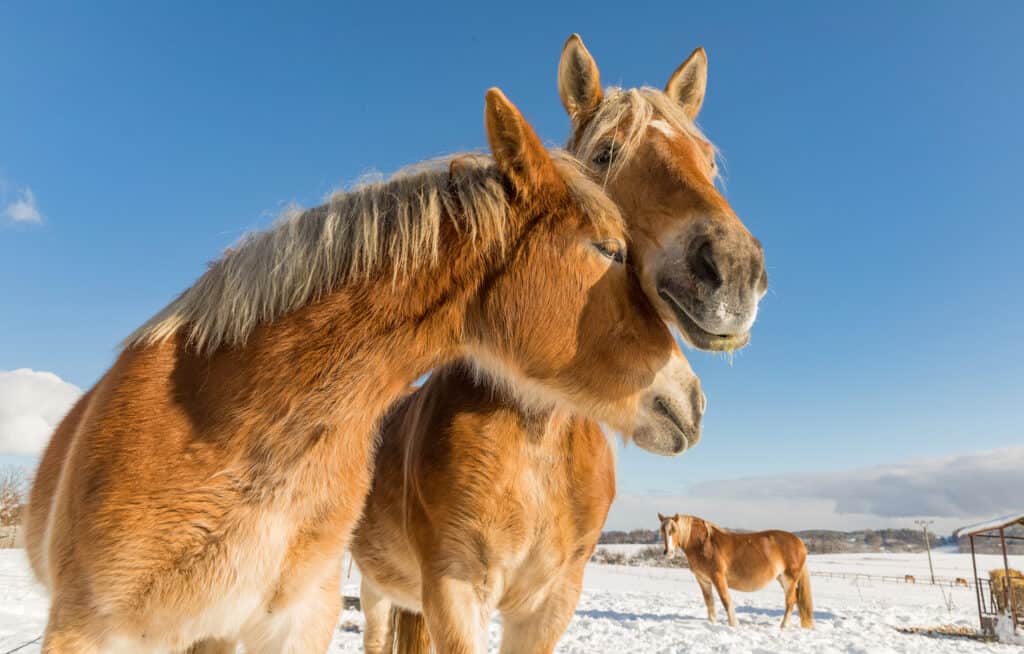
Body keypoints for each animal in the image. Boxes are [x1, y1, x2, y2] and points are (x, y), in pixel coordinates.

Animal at [655, 511, 815, 630]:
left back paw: (783, 626)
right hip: (782, 578)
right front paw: (712, 624)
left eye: (674, 530)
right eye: (662, 531)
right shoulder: (703, 580)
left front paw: (733, 625)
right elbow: (709, 602)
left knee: (790, 601)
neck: (704, 544)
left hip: (789, 579)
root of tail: (799, 542)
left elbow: (726, 600)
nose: (668, 552)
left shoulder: (718, 577)